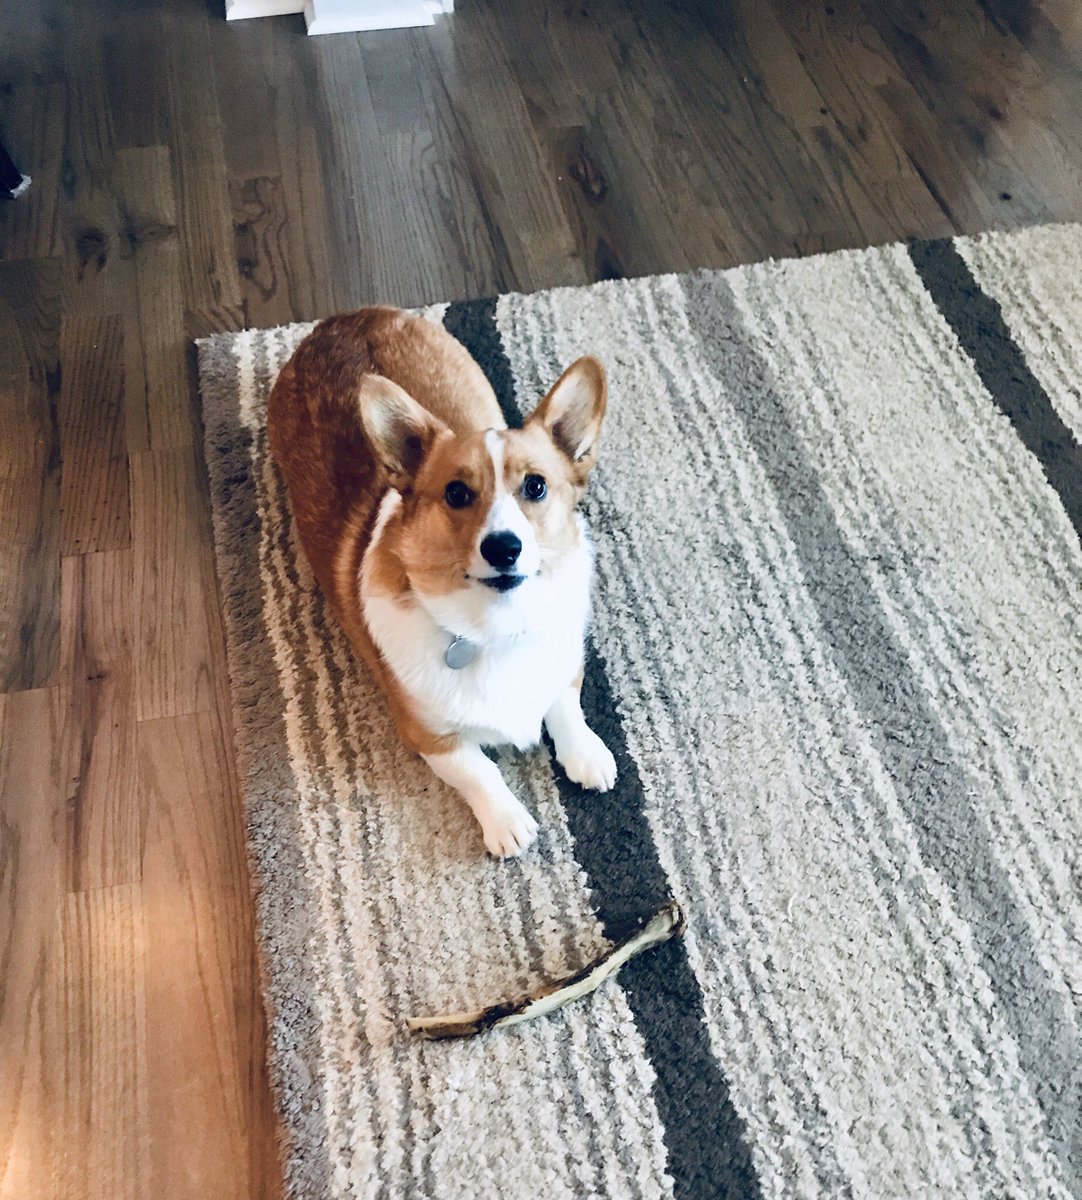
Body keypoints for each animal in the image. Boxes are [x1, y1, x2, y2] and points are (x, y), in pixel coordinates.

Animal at [266, 309, 614, 854]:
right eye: (456, 493)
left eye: (536, 486)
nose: (503, 548)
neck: (496, 627)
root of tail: (341, 319)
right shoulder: (427, 735)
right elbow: (478, 769)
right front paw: (508, 822)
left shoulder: (563, 665)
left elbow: (566, 704)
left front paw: (588, 754)